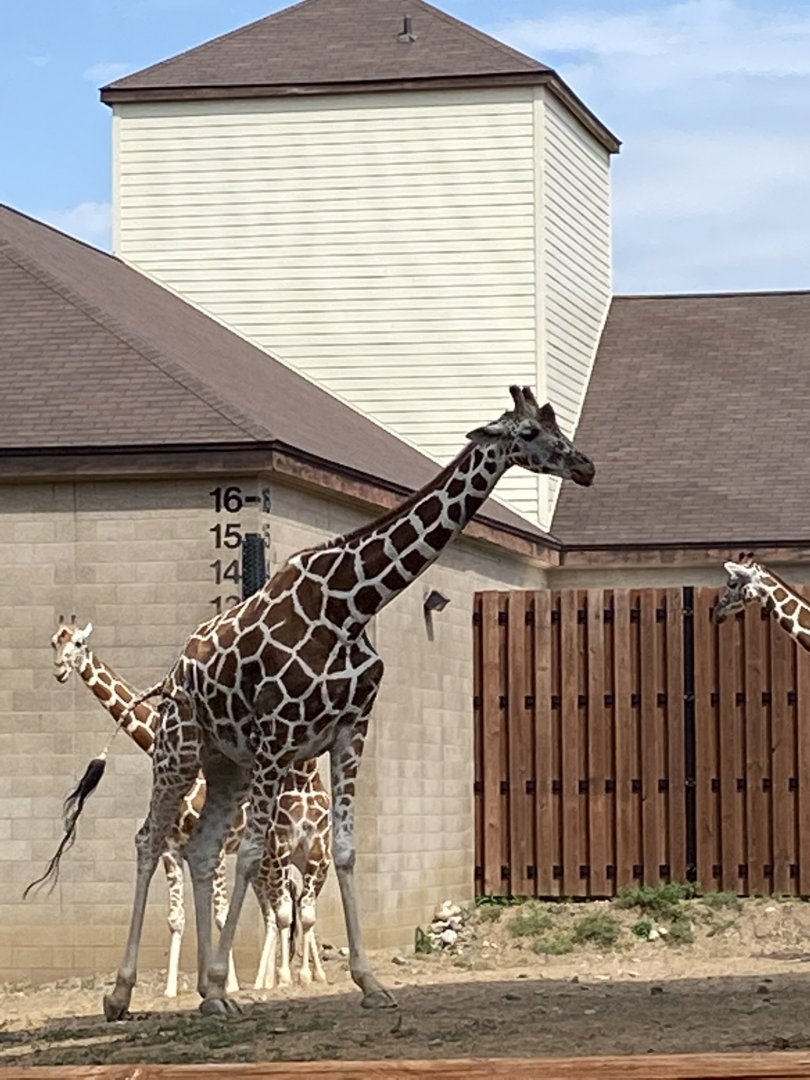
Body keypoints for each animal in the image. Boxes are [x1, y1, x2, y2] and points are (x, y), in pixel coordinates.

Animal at [47, 616, 331, 997]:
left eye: (78, 643)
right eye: (54, 642)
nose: (60, 670)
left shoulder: (216, 849)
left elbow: (219, 914)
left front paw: (227, 985)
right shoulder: (173, 850)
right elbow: (178, 919)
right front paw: (174, 988)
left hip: (293, 856)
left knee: (293, 906)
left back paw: (300, 976)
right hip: (271, 863)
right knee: (282, 908)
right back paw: (274, 979)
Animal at [97, 385, 594, 1020]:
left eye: (555, 426)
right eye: (528, 432)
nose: (584, 467)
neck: (351, 605)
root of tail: (175, 670)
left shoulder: (350, 730)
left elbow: (348, 851)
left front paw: (369, 981)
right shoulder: (277, 737)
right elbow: (253, 855)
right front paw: (229, 981)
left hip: (226, 765)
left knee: (202, 849)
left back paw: (209, 995)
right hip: (180, 750)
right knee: (148, 839)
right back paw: (123, 993)